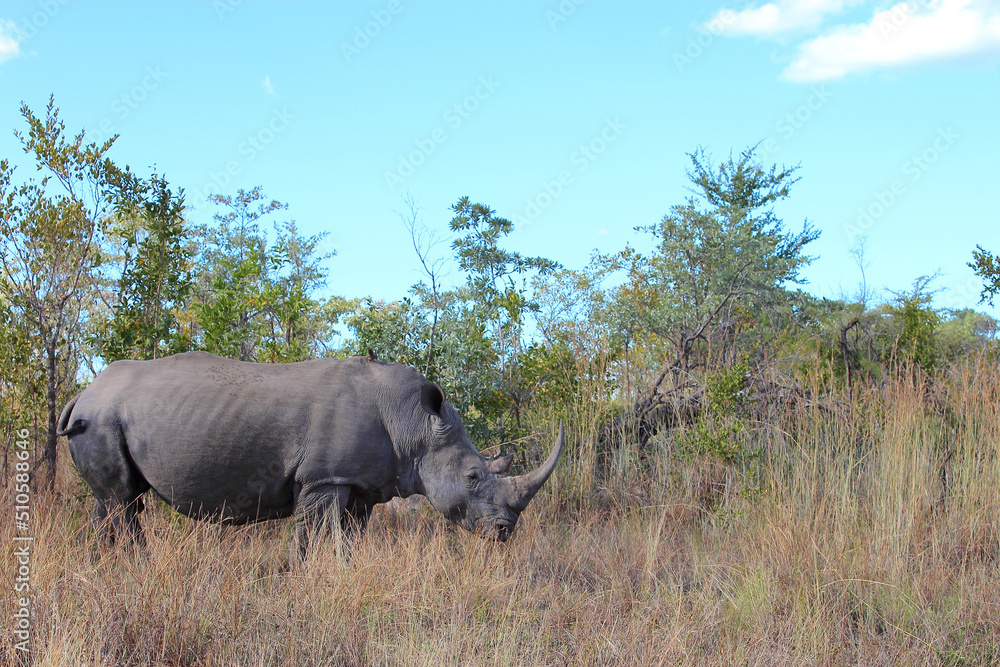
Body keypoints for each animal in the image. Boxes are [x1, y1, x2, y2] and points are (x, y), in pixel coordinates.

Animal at [58, 351, 564, 558]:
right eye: (474, 477)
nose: (504, 533)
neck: (414, 424)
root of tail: (83, 392)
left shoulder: (357, 483)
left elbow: (347, 541)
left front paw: (343, 576)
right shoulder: (324, 479)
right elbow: (309, 538)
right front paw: (298, 580)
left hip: (105, 416)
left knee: (113, 500)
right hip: (101, 417)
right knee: (122, 501)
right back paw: (134, 566)